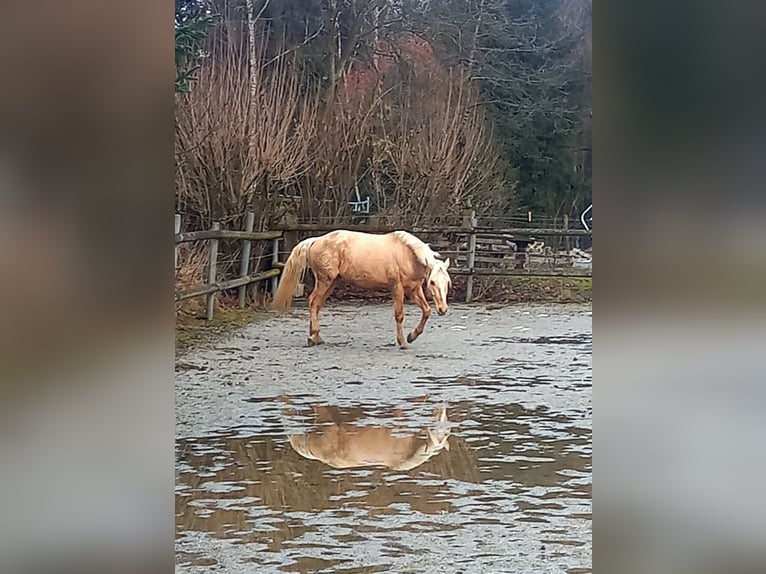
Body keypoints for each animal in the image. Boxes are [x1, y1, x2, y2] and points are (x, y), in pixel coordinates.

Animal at [271, 230, 451, 348]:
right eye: (432, 282)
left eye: (447, 283)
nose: (443, 309)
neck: (407, 255)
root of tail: (316, 240)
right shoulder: (397, 288)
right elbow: (399, 315)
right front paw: (402, 342)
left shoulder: (414, 290)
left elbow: (426, 311)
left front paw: (411, 336)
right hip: (324, 281)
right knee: (313, 302)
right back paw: (312, 336)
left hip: (332, 282)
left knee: (317, 304)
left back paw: (315, 338)